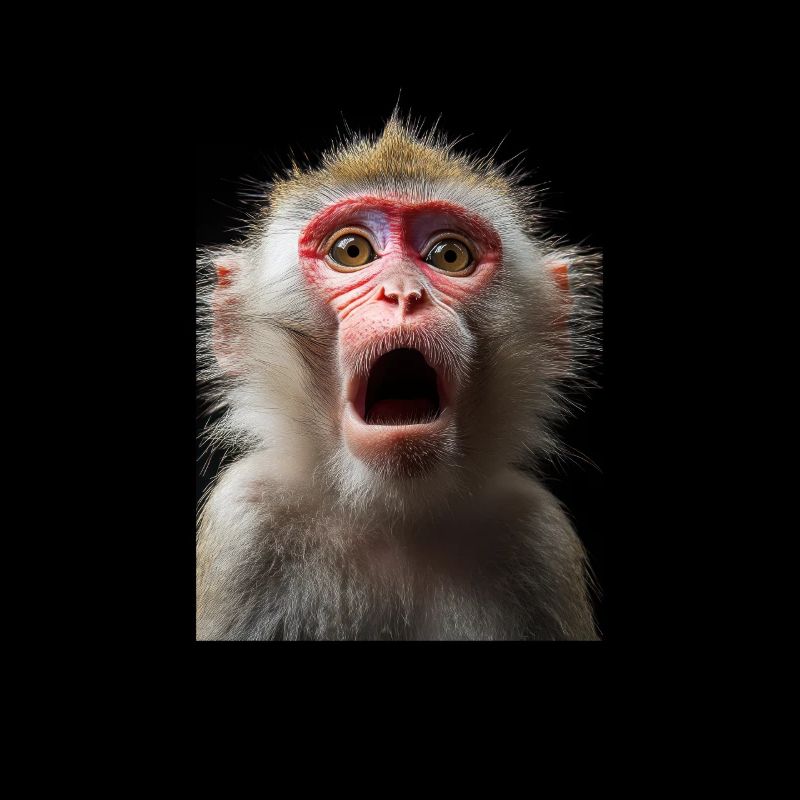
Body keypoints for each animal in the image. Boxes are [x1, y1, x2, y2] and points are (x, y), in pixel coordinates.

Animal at [196, 113, 602, 641]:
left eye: (449, 255)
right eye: (352, 251)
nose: (404, 293)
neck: (393, 513)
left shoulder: (538, 538)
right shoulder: (245, 523)